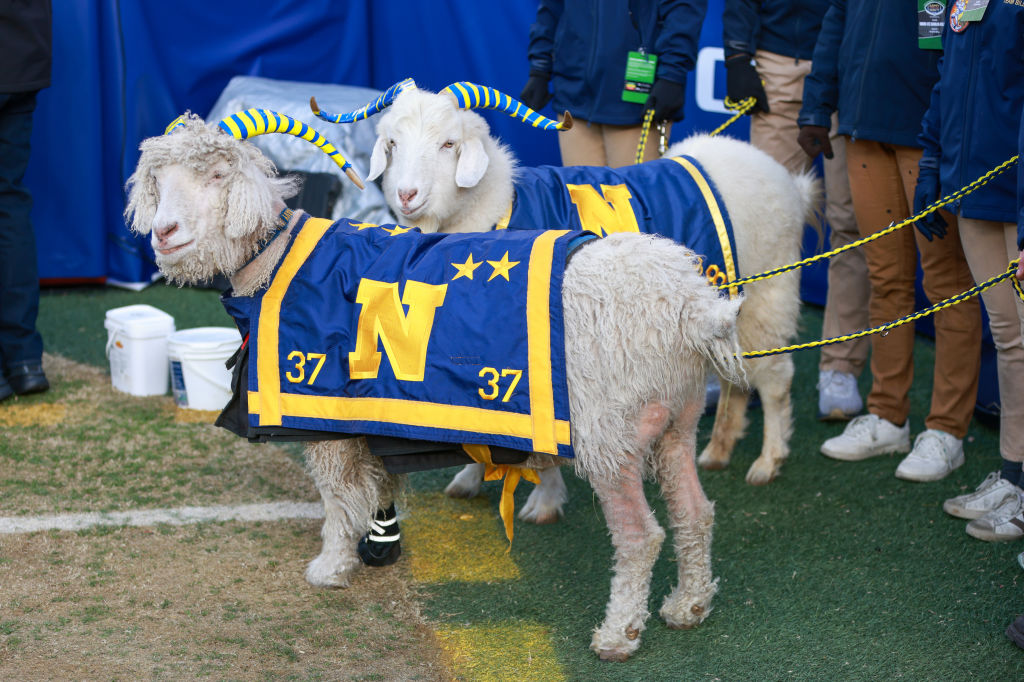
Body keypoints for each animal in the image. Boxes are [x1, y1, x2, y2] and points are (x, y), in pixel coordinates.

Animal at [125, 110, 747, 661]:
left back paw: (619, 634)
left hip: (609, 431)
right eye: (158, 181)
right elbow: (376, 484)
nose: (164, 233)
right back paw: (689, 605)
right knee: (695, 512)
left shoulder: (321, 408)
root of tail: (690, 305)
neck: (280, 263)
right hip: (674, 419)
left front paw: (329, 567)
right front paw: (378, 545)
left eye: (217, 175)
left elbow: (337, 498)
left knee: (640, 537)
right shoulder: (369, 413)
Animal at [313, 81, 820, 524]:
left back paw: (768, 460)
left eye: (449, 144)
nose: (406, 195)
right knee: (738, 377)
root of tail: (788, 181)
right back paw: (719, 449)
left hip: (771, 290)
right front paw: (471, 476)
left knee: (776, 378)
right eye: (392, 142)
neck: (500, 207)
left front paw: (545, 501)